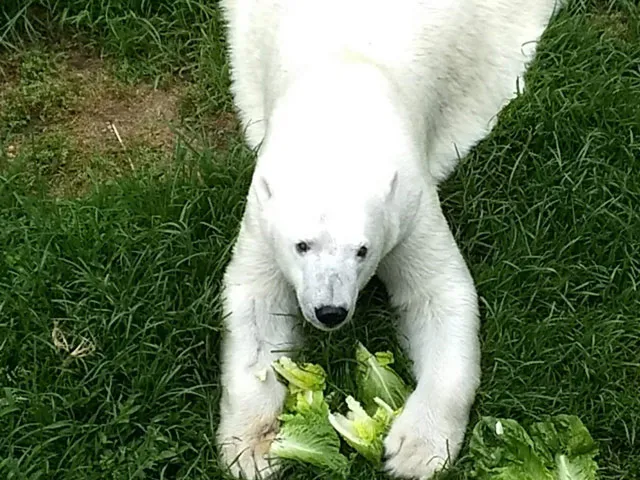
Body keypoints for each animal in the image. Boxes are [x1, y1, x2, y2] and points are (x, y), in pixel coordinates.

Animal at [214, 0, 560, 480]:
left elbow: (438, 294)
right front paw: (251, 447)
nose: (331, 311)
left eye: (363, 251)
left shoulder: (409, 205)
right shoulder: (262, 213)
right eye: (302, 245)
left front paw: (415, 451)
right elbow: (255, 302)